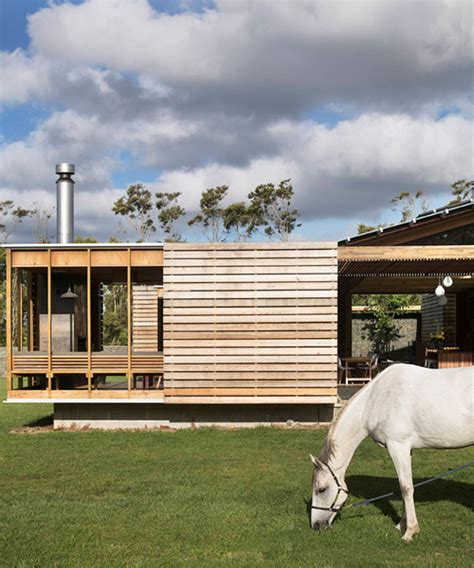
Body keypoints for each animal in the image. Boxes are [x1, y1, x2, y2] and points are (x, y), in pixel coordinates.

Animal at [312, 364, 474, 540]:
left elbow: (405, 487)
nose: (315, 525)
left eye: (321, 489)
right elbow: (405, 484)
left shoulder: (397, 446)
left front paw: (410, 531)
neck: (375, 399)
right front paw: (401, 525)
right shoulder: (406, 449)